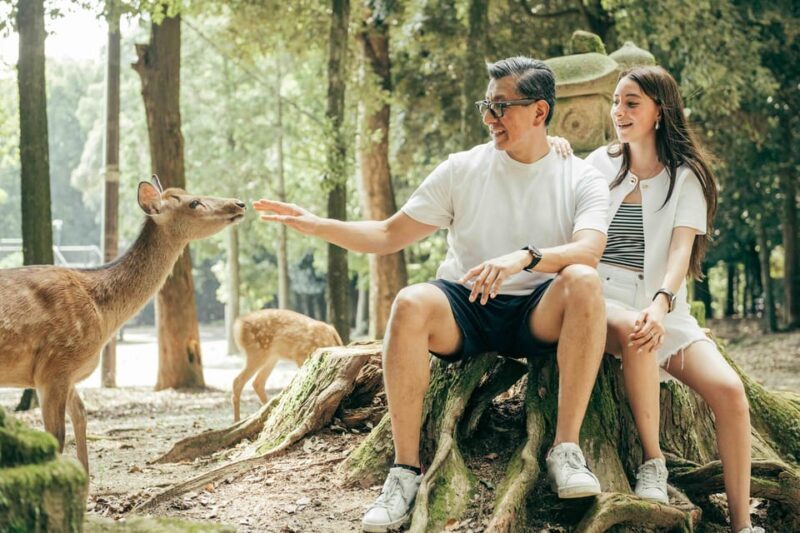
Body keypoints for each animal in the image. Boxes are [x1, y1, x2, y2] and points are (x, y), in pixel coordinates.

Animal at [0, 176, 246, 473]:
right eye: (193, 202)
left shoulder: (68, 373)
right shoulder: (54, 365)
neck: (103, 316)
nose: (239, 203)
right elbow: (55, 437)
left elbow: (81, 416)